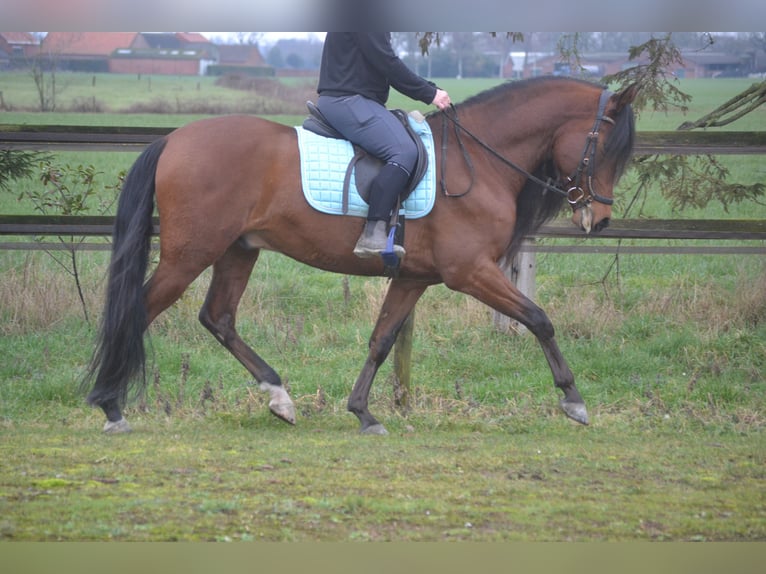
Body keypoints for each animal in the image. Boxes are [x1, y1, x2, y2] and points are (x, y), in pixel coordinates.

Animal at [83, 76, 638, 434]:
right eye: (605, 148)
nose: (599, 221)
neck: (475, 161)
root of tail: (174, 139)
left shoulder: (414, 278)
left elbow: (382, 339)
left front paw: (363, 412)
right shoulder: (469, 272)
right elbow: (539, 318)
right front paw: (574, 400)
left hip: (238, 251)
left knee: (218, 317)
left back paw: (279, 397)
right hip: (189, 255)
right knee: (140, 309)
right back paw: (109, 406)